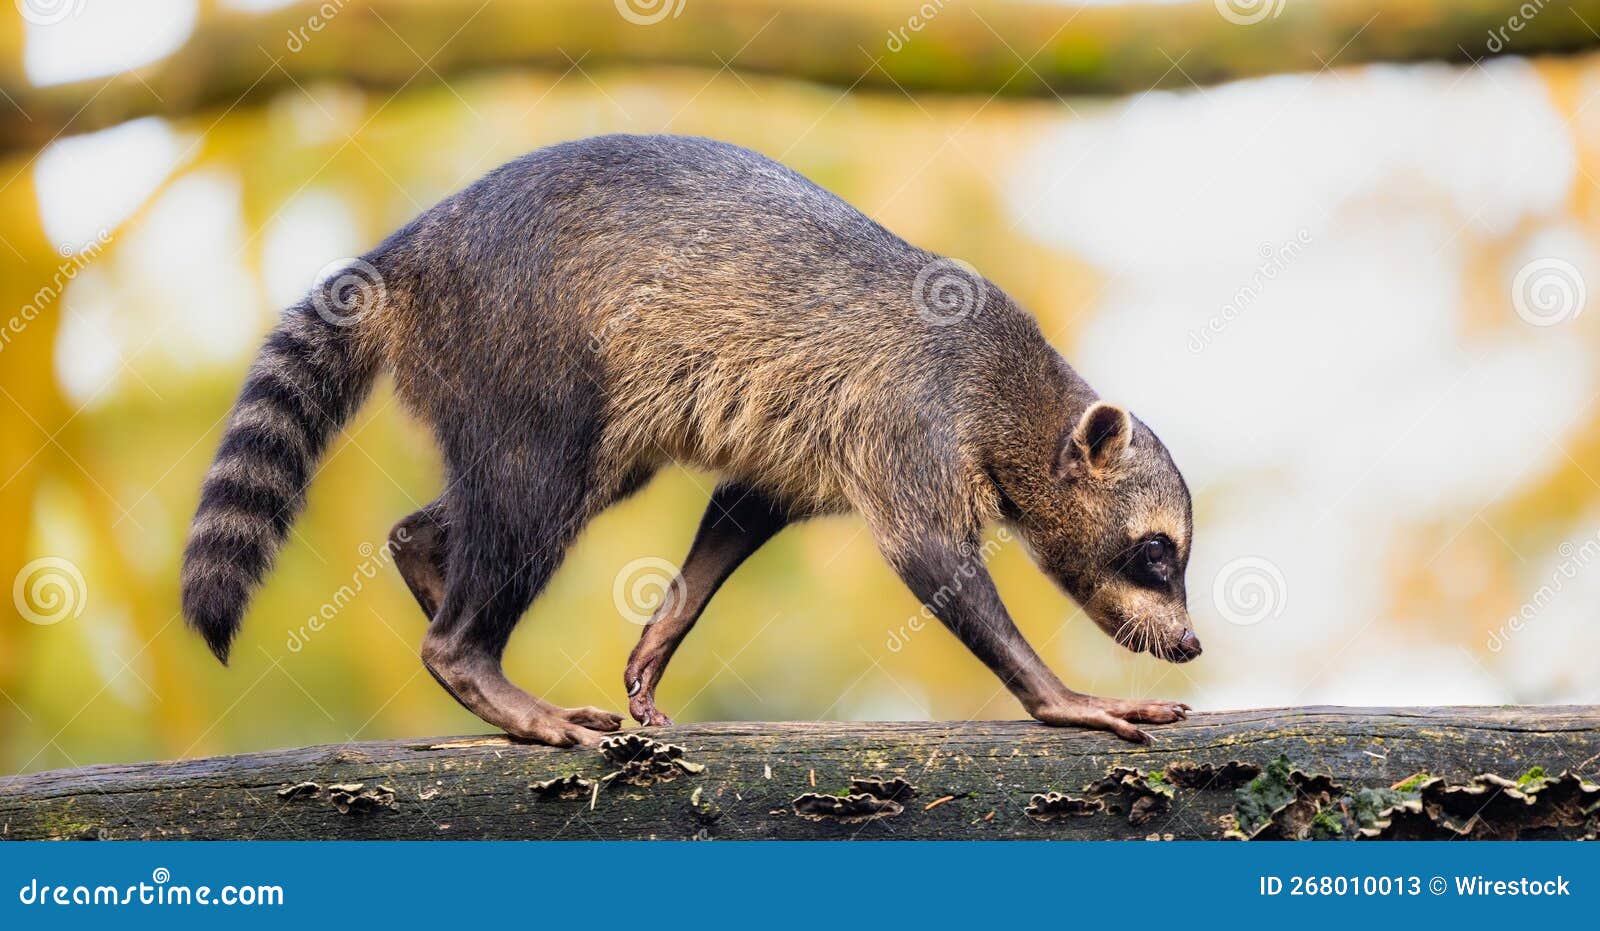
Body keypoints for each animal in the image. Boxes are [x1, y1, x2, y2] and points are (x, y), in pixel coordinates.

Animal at [181, 134, 1200, 747]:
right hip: (521, 344)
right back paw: (466, 649)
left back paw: (431, 557)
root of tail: (416, 247)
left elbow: (742, 511)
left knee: (529, 492)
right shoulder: (913, 419)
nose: (1190, 643)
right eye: (1157, 552)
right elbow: (928, 552)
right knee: (531, 492)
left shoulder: (809, 443)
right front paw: (1058, 696)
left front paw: (667, 624)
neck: (1023, 402)